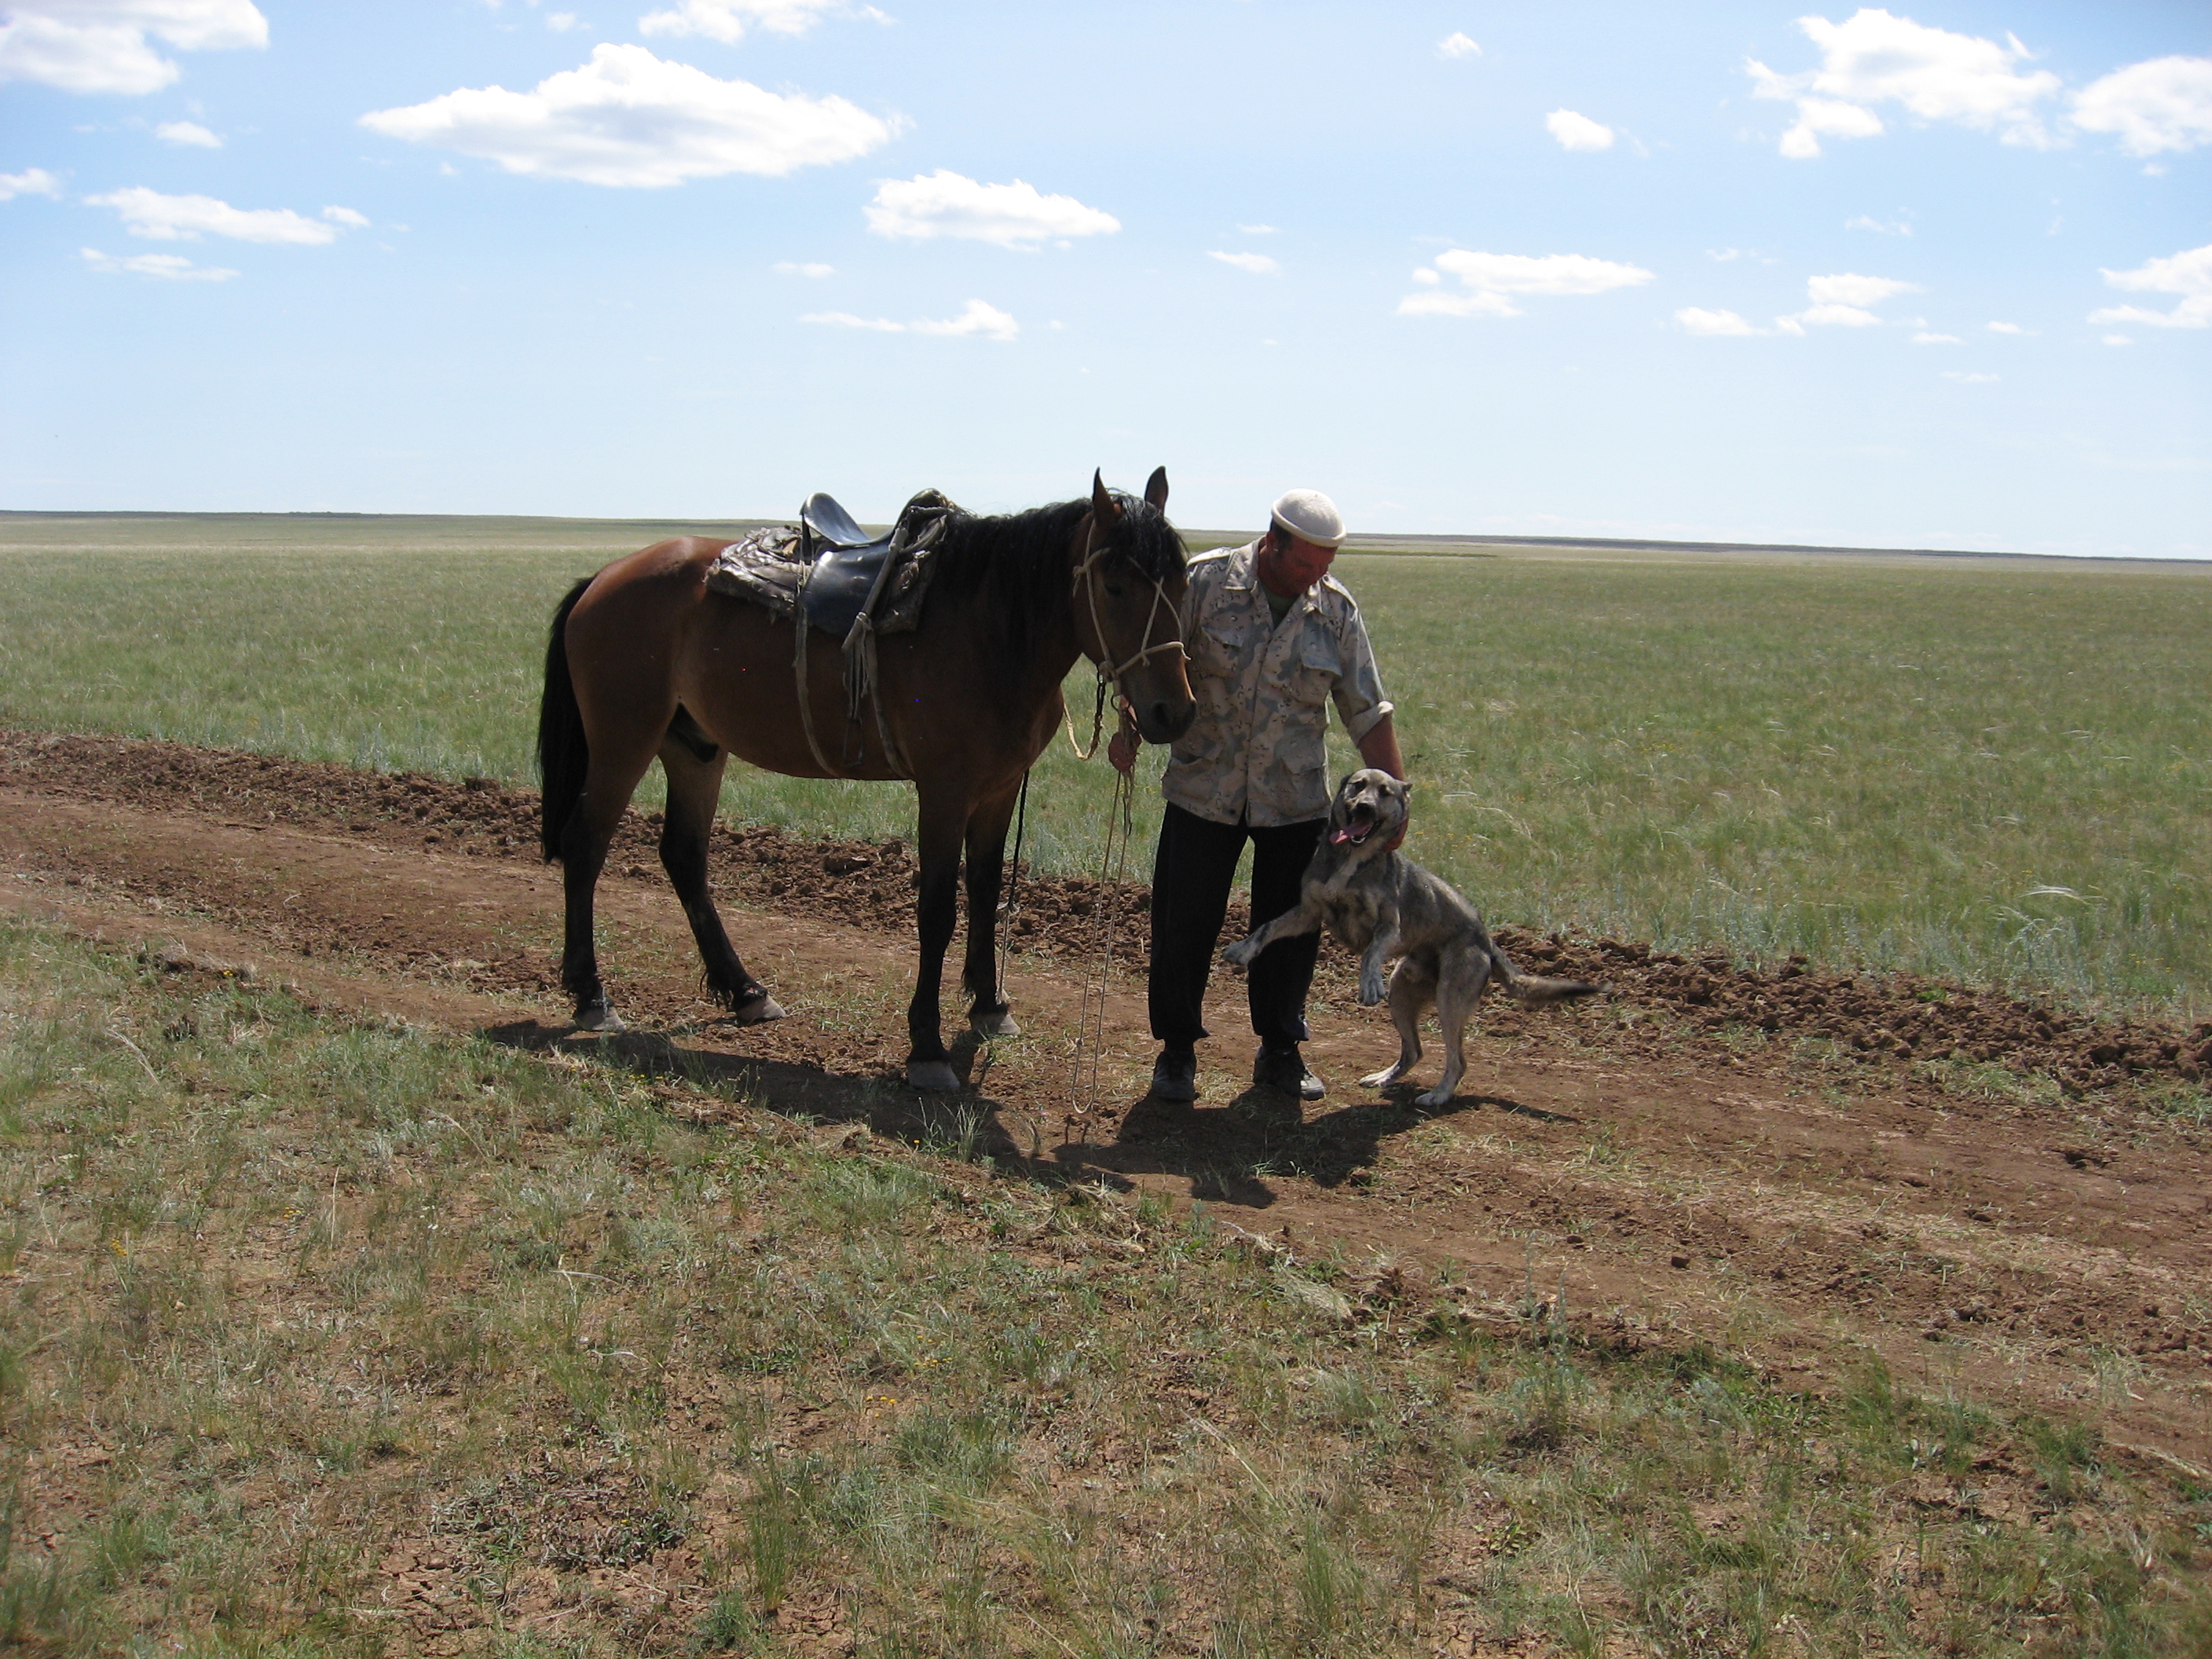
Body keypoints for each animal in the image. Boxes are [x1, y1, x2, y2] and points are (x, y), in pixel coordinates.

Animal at [535, 468, 1194, 1093]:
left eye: (1183, 583)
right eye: (1114, 585)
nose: (1174, 712)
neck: (989, 629)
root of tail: (605, 577)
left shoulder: (1000, 787)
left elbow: (985, 890)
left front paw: (989, 1005)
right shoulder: (946, 790)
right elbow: (937, 910)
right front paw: (927, 1046)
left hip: (694, 748)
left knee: (684, 856)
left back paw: (745, 991)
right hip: (625, 739)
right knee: (586, 844)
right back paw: (592, 996)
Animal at [1221, 774, 1601, 1110]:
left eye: (1385, 792)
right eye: (1357, 786)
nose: (1364, 807)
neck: (1354, 859)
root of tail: (1486, 941)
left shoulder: (1390, 926)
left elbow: (1370, 954)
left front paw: (1368, 984)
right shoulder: (1308, 913)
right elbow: (1267, 928)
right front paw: (1243, 949)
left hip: (1449, 1001)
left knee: (1457, 1061)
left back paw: (1437, 1096)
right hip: (1403, 995)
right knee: (1414, 1050)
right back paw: (1383, 1078)